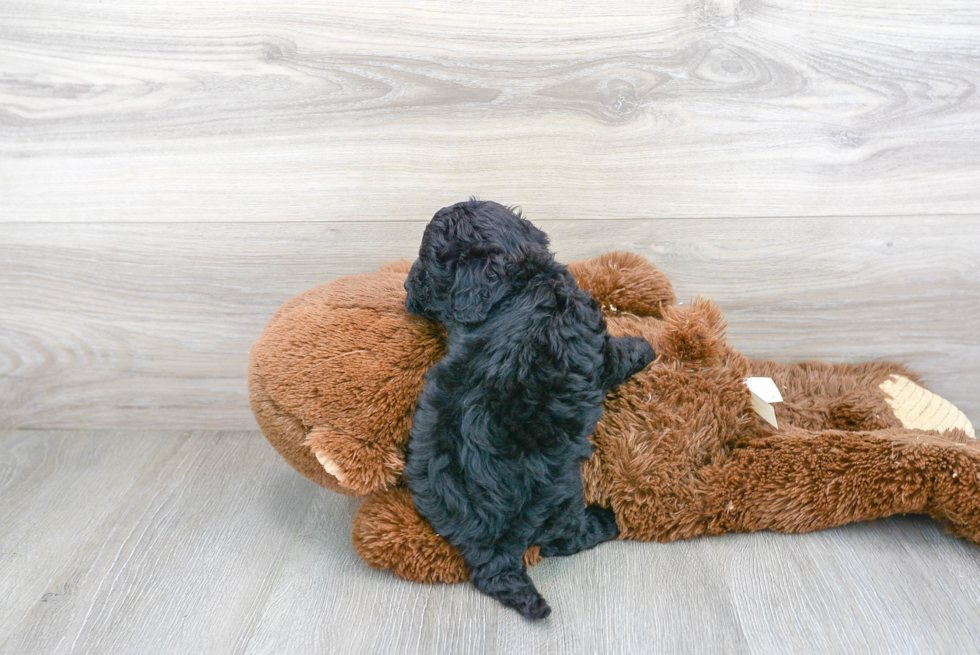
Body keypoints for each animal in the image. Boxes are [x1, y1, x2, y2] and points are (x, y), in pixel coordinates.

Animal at [402, 201, 656, 620]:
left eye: (425, 264)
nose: (406, 287)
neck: (520, 285)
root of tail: (488, 545)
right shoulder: (599, 348)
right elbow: (618, 353)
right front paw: (645, 347)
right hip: (561, 494)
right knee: (561, 540)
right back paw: (606, 521)